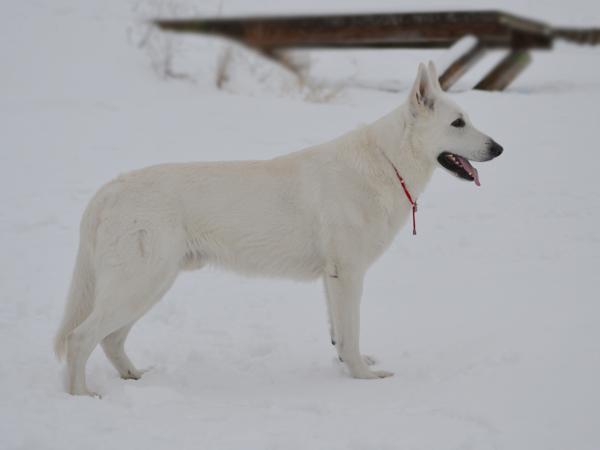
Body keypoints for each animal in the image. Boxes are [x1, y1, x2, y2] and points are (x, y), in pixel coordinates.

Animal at [54, 62, 502, 394]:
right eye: (458, 123)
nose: (499, 148)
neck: (387, 161)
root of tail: (110, 188)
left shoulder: (332, 280)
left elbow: (340, 335)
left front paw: (346, 365)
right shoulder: (348, 275)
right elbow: (352, 332)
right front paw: (363, 377)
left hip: (151, 285)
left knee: (110, 339)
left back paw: (133, 377)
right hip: (141, 284)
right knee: (80, 338)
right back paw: (82, 396)